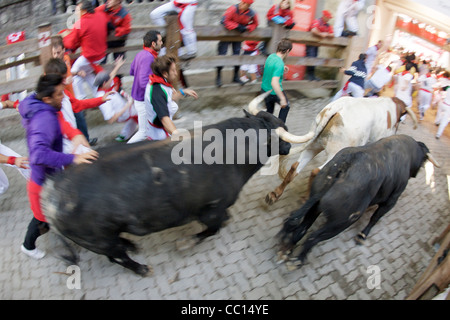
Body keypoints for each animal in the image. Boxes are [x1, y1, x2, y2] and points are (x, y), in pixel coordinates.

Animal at [44, 109, 292, 276]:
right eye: (279, 134)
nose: (289, 146)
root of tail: (51, 192)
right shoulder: (212, 209)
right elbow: (212, 229)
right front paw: (185, 243)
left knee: (117, 248)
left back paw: (130, 244)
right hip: (99, 240)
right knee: (116, 257)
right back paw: (142, 268)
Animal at [264, 95, 418, 205]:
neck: (389, 111)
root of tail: (336, 108)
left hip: (315, 145)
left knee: (295, 167)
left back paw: (275, 194)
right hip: (335, 153)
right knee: (316, 171)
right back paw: (306, 198)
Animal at [278, 134, 440, 268]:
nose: (418, 172)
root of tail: (346, 163)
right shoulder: (391, 201)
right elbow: (375, 218)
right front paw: (362, 236)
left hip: (316, 205)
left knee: (302, 227)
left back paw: (286, 251)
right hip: (341, 221)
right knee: (313, 237)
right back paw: (297, 260)